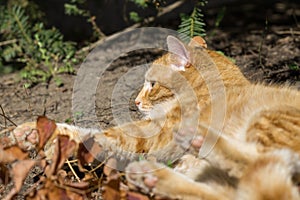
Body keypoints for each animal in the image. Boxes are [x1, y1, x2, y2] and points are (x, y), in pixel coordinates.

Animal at [8, 35, 300, 198]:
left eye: (152, 84)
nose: (136, 101)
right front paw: (33, 132)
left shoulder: (157, 133)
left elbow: (102, 134)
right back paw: (155, 177)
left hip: (264, 120)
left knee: (262, 163)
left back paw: (199, 142)